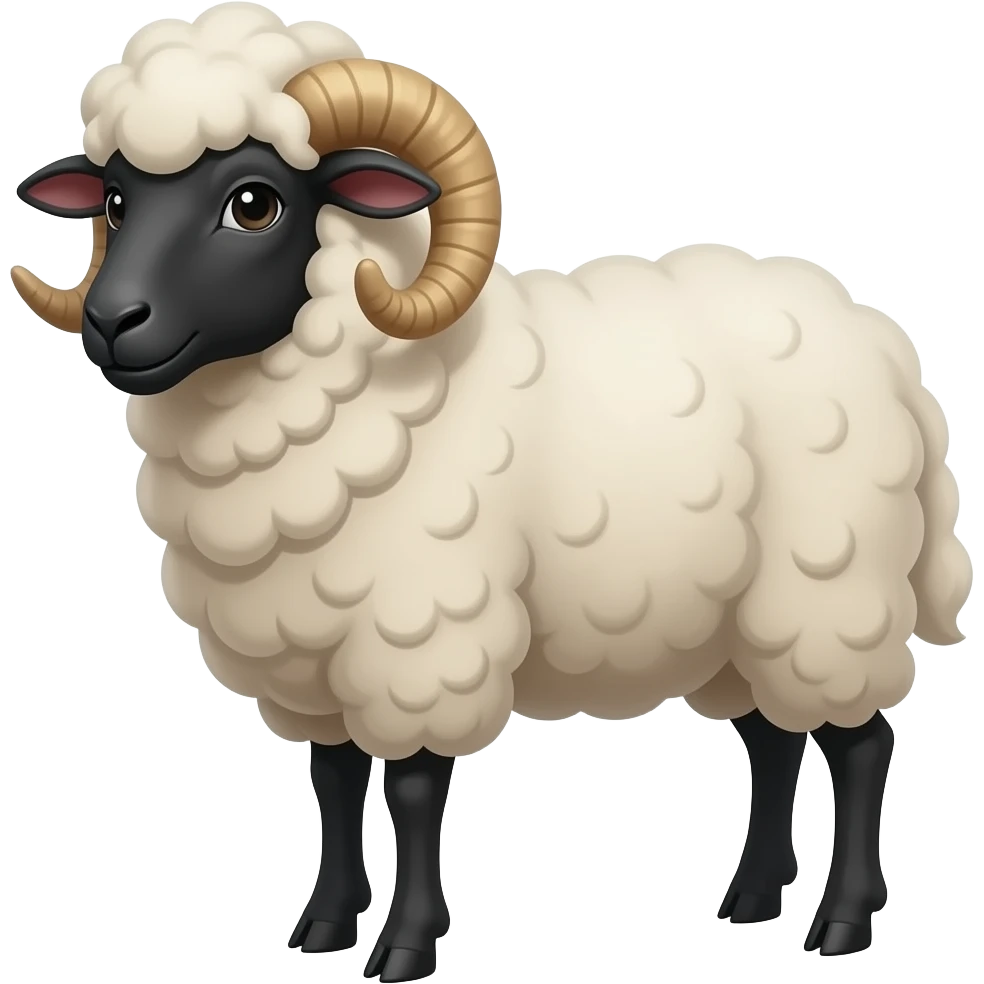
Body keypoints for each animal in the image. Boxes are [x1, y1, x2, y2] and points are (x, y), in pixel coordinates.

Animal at [9, 2, 973, 976]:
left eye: (254, 202)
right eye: (116, 200)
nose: (112, 322)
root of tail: (881, 337)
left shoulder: (421, 633)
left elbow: (412, 789)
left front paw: (405, 945)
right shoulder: (313, 656)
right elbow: (333, 780)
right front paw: (324, 925)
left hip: (832, 592)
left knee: (862, 744)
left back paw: (841, 922)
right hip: (744, 622)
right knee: (775, 741)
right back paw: (750, 900)